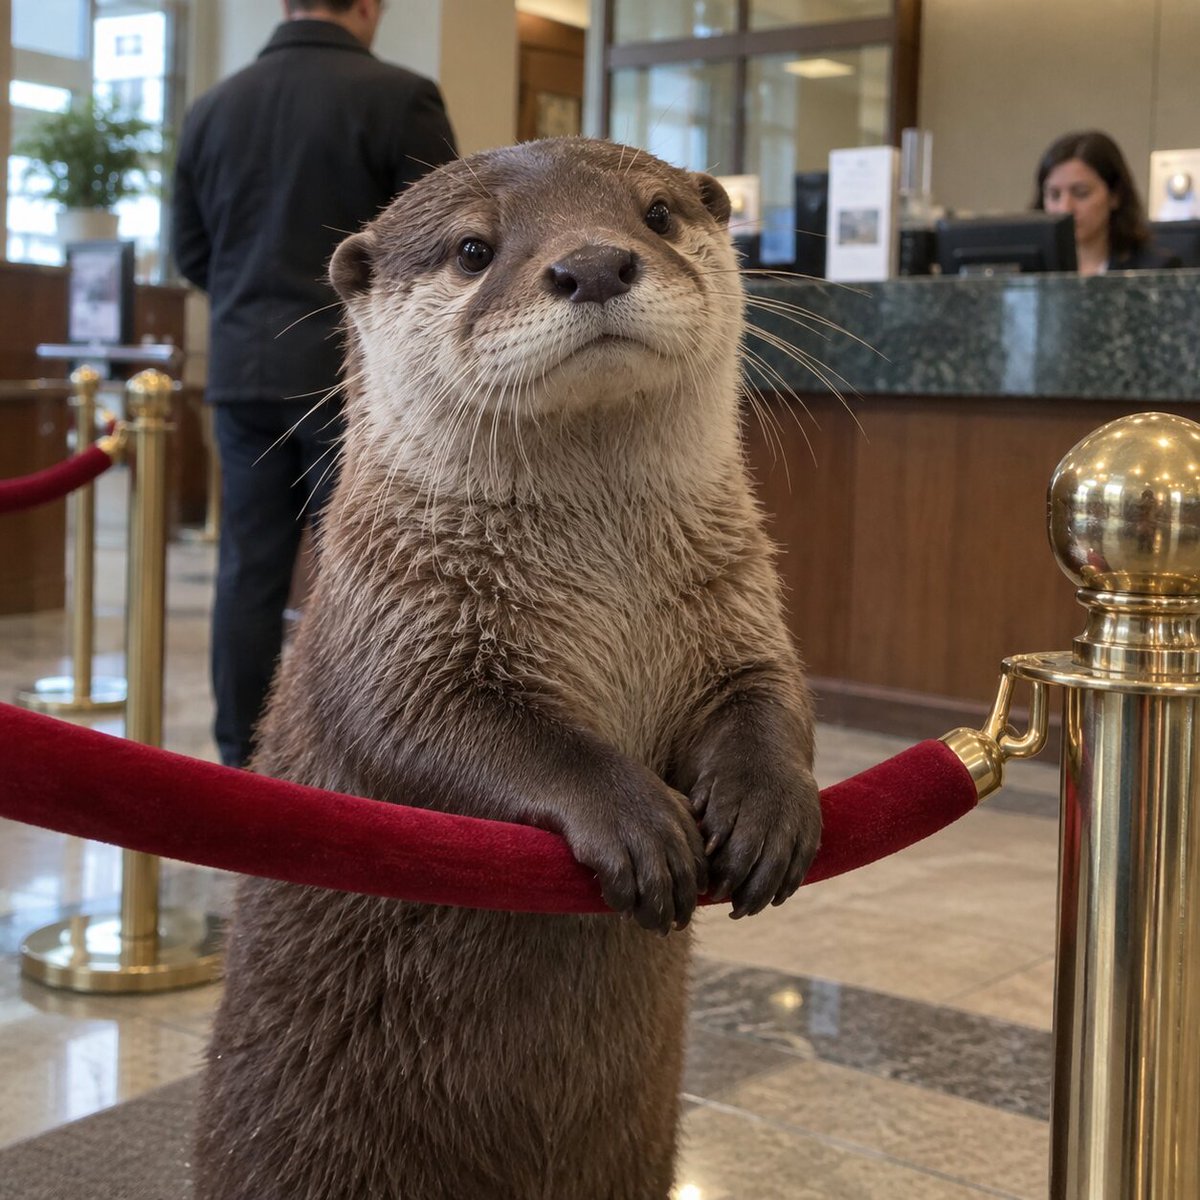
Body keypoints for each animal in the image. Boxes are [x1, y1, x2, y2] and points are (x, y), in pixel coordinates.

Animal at [193, 137, 821, 1200]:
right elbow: (446, 727)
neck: (606, 588)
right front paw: (636, 821)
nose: (596, 263)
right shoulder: (395, 621)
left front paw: (770, 807)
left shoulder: (738, 603)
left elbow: (773, 697)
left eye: (656, 213)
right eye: (473, 249)